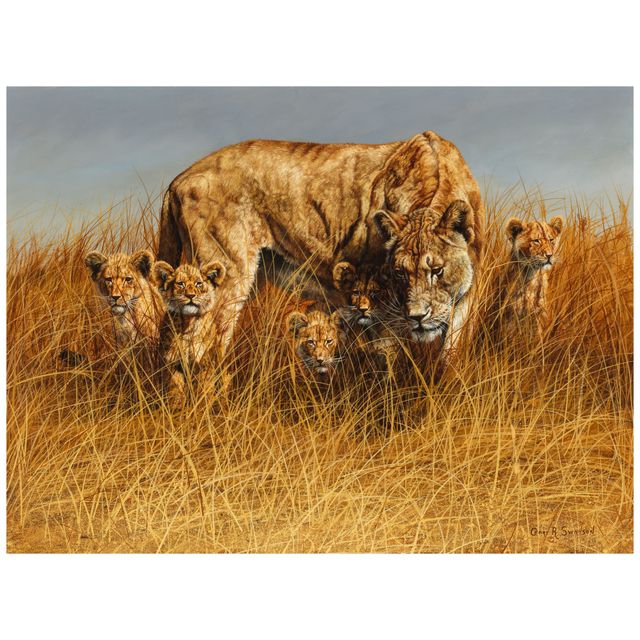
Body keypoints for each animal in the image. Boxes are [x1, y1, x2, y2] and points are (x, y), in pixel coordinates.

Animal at [152, 260, 228, 404]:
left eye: (198, 283)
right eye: (180, 283)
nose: (191, 295)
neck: (188, 323)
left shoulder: (204, 363)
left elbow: (204, 391)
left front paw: (201, 408)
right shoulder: (173, 363)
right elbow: (175, 391)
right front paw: (176, 408)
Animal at [157, 131, 484, 364]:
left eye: (437, 270)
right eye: (400, 273)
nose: (417, 316)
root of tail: (179, 179)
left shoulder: (465, 304)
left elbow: (450, 359)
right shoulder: (382, 308)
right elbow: (385, 363)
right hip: (224, 278)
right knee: (193, 350)